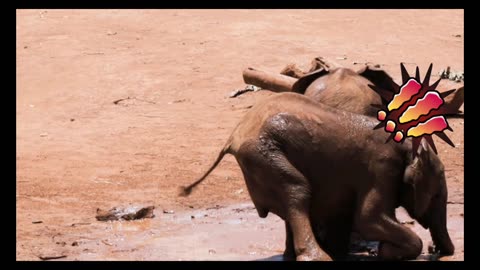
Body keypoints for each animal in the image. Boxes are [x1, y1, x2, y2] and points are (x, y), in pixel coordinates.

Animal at [182, 92, 456, 260]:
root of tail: (235, 135)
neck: (407, 144)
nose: (435, 249)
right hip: (263, 154)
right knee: (298, 191)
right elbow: (368, 218)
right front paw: (388, 251)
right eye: (436, 193)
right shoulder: (382, 169)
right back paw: (318, 257)